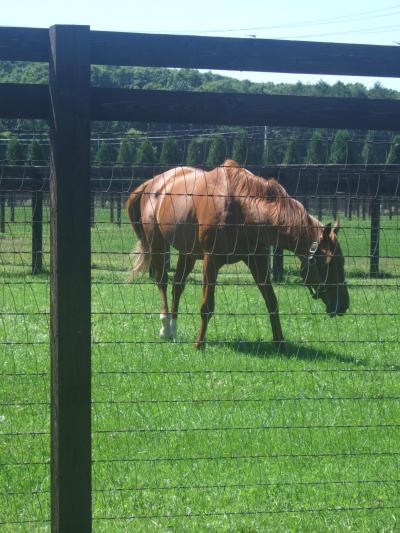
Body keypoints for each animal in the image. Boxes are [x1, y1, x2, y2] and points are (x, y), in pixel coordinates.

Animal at [126, 160, 348, 348]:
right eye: (327, 263)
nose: (343, 304)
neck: (242, 208)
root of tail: (154, 183)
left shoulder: (258, 262)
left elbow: (272, 301)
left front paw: (279, 342)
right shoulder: (210, 262)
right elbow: (207, 306)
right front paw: (199, 344)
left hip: (187, 253)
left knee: (177, 285)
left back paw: (173, 330)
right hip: (157, 244)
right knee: (162, 281)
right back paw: (165, 328)